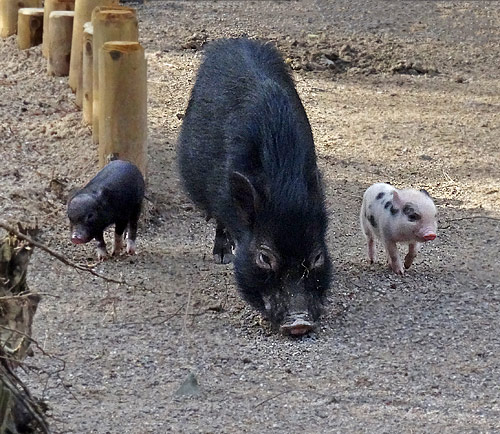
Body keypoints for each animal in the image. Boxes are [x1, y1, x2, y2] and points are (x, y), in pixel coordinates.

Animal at [179, 38, 332, 336]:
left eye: (318, 256)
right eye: (264, 257)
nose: (299, 323)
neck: (283, 182)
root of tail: (234, 40)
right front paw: (224, 256)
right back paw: (223, 255)